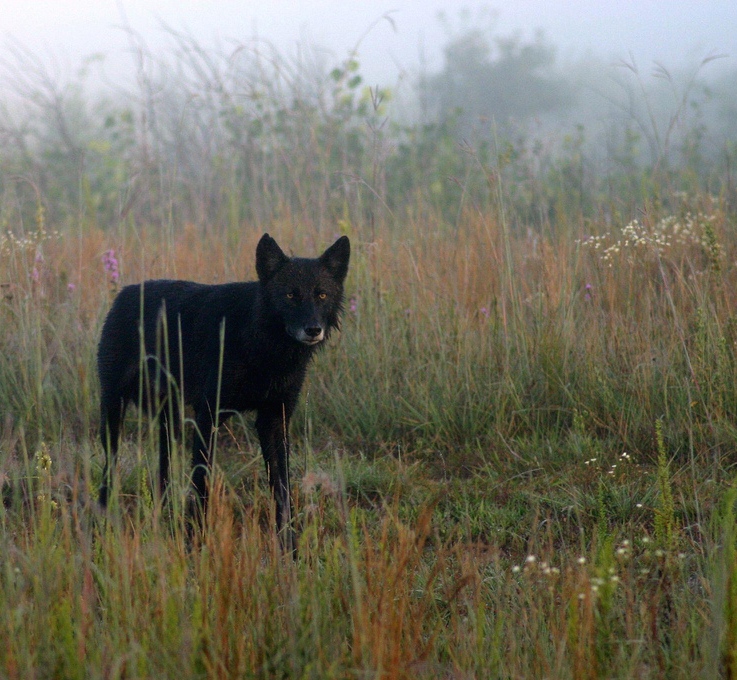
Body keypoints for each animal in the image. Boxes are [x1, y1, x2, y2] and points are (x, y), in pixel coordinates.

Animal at [96, 233, 350, 551]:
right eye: (291, 295)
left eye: (322, 295)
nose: (313, 329)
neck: (259, 342)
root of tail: (125, 293)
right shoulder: (208, 417)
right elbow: (202, 484)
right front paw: (196, 546)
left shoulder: (274, 420)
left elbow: (282, 490)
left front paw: (289, 548)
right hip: (113, 414)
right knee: (109, 470)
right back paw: (103, 524)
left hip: (169, 422)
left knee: (163, 472)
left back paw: (163, 521)